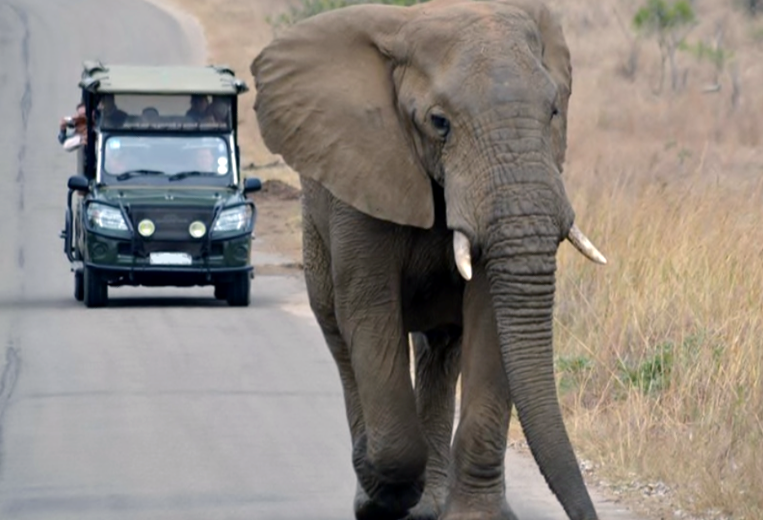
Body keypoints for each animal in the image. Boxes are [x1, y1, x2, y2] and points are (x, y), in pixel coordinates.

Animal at [251, 1, 608, 520]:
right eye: (440, 123)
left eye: (554, 110)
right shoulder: (361, 176)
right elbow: (370, 312)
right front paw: (383, 496)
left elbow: (490, 316)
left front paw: (476, 517)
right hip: (314, 229)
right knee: (340, 336)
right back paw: (375, 482)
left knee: (441, 348)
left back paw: (428, 503)